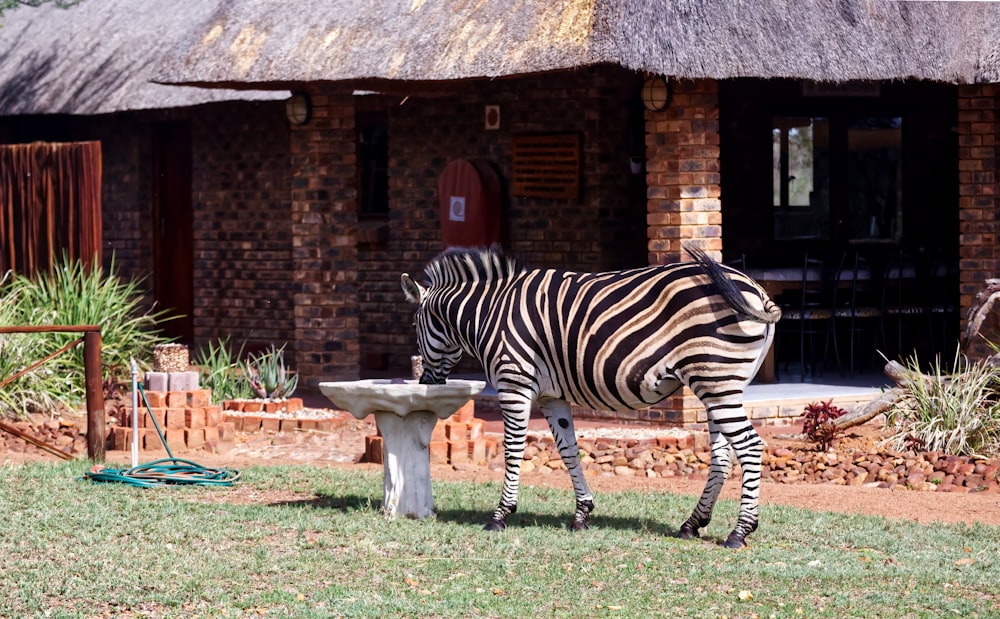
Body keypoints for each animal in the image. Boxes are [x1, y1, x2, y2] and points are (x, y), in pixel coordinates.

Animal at [398, 245, 780, 548]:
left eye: (415, 326)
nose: (427, 381)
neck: (490, 313)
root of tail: (756, 291)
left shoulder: (514, 382)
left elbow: (513, 449)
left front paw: (500, 515)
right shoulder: (551, 395)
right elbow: (569, 450)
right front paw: (582, 513)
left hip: (715, 378)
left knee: (749, 446)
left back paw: (739, 532)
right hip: (720, 384)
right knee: (723, 455)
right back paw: (692, 524)